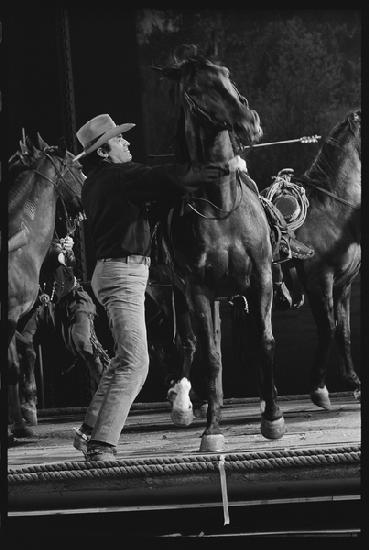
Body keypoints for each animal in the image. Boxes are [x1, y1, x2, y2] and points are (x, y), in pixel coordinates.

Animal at [153, 50, 284, 452]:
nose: (249, 121)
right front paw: (212, 429)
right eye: (194, 90)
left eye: (228, 76)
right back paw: (183, 405)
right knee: (189, 344)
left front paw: (273, 417)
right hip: (176, 293)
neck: (222, 207)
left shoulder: (261, 278)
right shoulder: (198, 290)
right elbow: (210, 356)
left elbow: (265, 340)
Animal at [274, 109, 360, 410]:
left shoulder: (344, 285)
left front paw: (353, 382)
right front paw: (319, 389)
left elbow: (344, 331)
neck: (332, 211)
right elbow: (328, 328)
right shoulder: (319, 283)